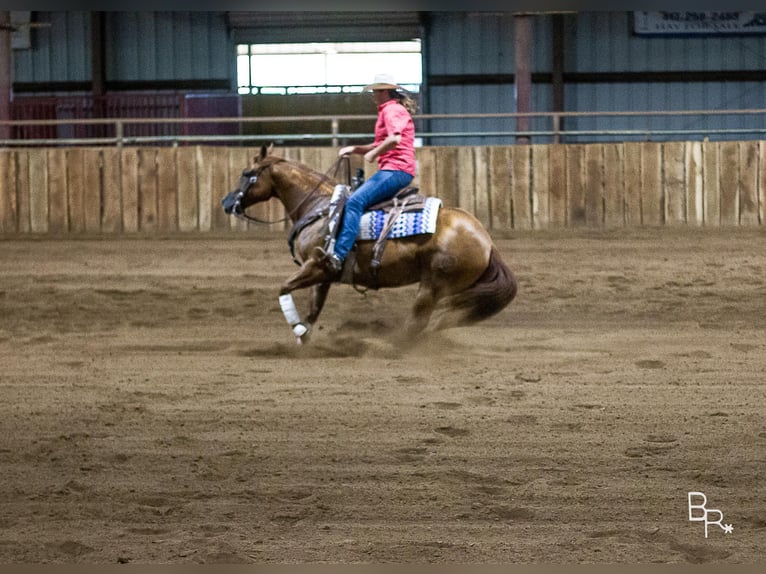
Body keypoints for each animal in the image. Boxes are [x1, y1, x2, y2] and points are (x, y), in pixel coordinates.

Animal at [222, 146, 520, 348]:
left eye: (247, 174)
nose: (226, 203)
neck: (321, 208)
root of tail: (488, 242)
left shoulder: (315, 266)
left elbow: (284, 288)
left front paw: (298, 331)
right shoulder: (323, 274)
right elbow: (313, 311)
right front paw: (303, 342)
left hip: (433, 286)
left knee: (417, 323)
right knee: (444, 320)